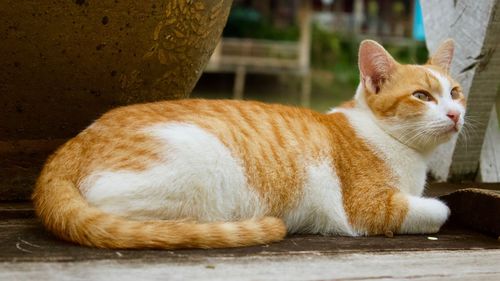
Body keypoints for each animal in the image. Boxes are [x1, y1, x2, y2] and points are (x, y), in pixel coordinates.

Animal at [33, 38, 466, 247]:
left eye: (455, 92)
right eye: (422, 96)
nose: (455, 114)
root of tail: (77, 141)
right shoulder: (367, 208)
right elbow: (439, 210)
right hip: (198, 172)